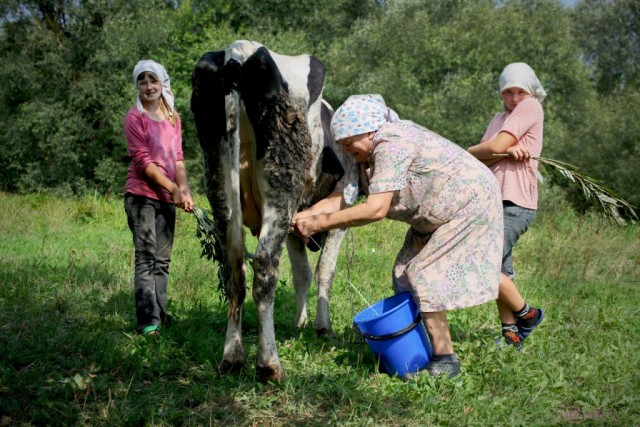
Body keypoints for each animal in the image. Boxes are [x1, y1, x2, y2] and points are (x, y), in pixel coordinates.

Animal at [190, 39, 360, 382]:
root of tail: (239, 51)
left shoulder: (295, 226)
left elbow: (302, 274)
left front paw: (300, 322)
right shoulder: (338, 218)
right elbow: (324, 271)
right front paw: (322, 326)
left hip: (218, 177)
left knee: (234, 272)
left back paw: (232, 357)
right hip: (282, 183)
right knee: (264, 268)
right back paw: (269, 364)